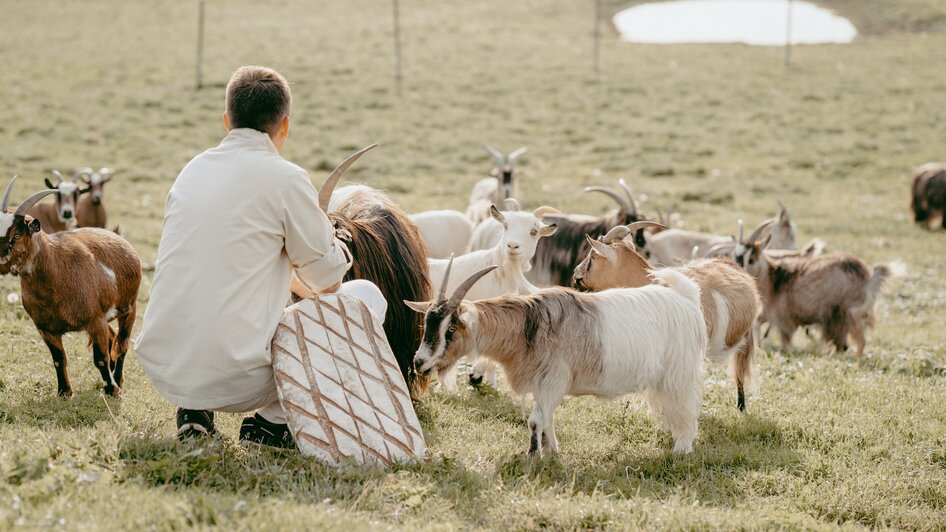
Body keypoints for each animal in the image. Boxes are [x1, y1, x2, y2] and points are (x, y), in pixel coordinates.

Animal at [1, 177, 142, 396]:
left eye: (16, 235)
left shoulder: (95, 321)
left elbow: (100, 359)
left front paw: (112, 390)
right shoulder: (45, 329)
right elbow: (59, 360)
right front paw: (64, 392)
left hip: (129, 308)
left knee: (122, 344)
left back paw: (117, 379)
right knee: (113, 338)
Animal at [402, 264, 704, 456]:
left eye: (451, 328)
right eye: (427, 323)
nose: (419, 362)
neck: (529, 324)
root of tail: (687, 299)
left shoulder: (554, 380)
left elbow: (536, 420)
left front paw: (534, 457)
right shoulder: (543, 384)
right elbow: (546, 419)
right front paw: (552, 450)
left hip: (679, 373)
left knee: (688, 408)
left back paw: (682, 450)